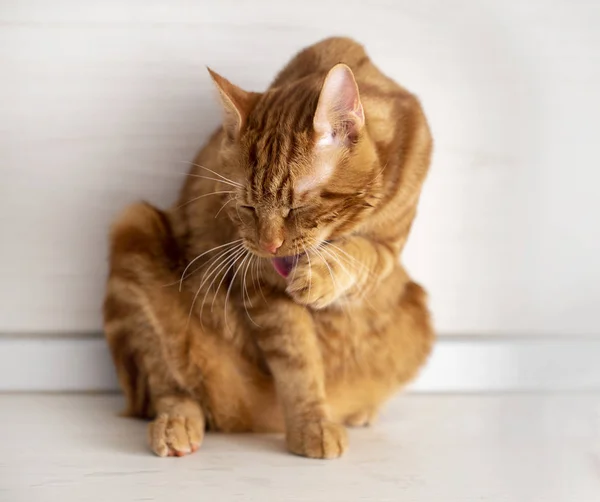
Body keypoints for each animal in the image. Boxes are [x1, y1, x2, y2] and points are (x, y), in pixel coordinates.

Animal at [102, 36, 432, 458]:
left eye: (297, 207)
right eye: (246, 207)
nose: (271, 246)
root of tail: (247, 419)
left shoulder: (389, 249)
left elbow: (362, 255)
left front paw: (322, 274)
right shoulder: (262, 287)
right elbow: (298, 363)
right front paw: (312, 423)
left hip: (416, 311)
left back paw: (360, 410)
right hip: (136, 230)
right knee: (167, 382)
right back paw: (177, 423)